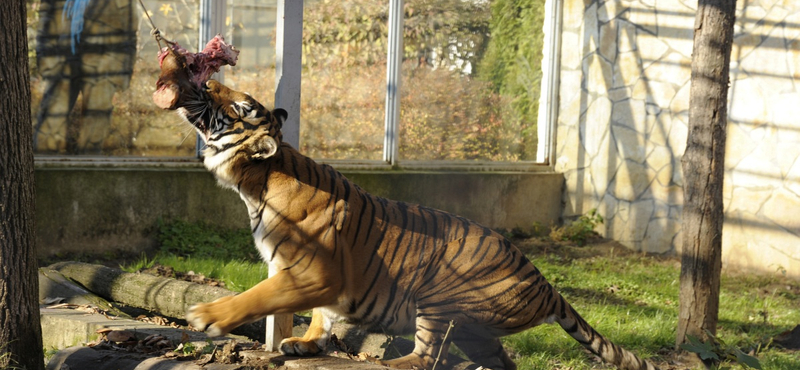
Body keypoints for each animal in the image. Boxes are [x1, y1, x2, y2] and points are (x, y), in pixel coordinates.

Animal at [178, 80, 660, 370]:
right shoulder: (300, 272)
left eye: (239, 106)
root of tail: (547, 285)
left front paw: (208, 316)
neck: (254, 182)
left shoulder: (312, 271)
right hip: (476, 330)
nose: (206, 81)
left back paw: (389, 364)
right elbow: (318, 313)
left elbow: (259, 296)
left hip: (440, 297)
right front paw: (307, 342)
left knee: (427, 357)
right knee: (502, 361)